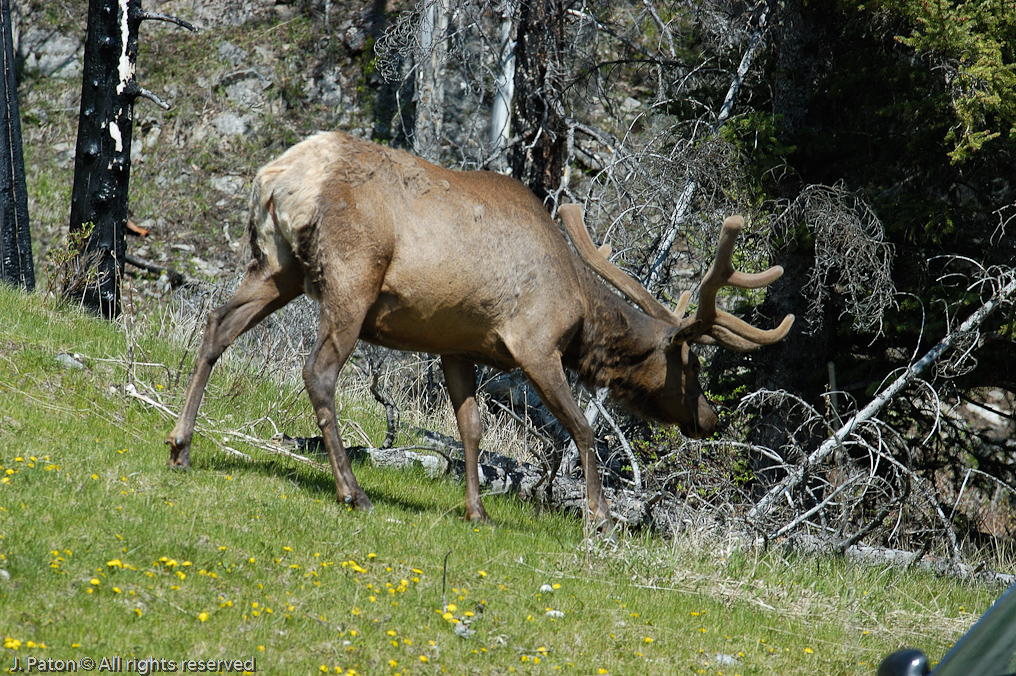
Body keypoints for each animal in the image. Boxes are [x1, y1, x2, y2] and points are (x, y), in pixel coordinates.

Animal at [166, 130, 793, 529]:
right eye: (691, 365)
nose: (710, 419)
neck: (579, 314)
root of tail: (277, 178)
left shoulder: (456, 345)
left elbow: (471, 427)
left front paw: (478, 510)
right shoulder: (534, 343)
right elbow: (582, 431)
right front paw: (600, 518)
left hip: (278, 267)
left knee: (217, 326)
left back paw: (181, 445)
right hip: (350, 276)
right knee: (317, 371)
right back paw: (352, 490)